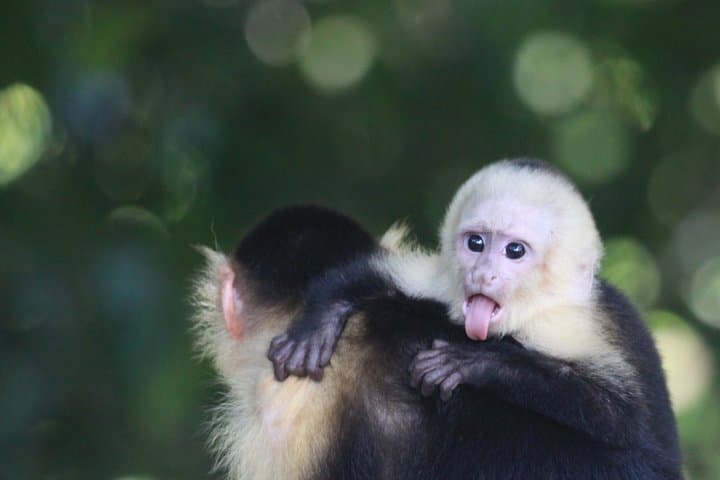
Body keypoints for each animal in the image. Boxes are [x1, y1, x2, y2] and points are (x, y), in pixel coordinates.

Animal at [260, 159, 682, 478]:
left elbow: (618, 414)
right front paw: (318, 323)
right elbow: (373, 275)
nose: (482, 275)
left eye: (514, 251)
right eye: (475, 243)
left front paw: (475, 362)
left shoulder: (563, 324)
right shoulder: (445, 285)